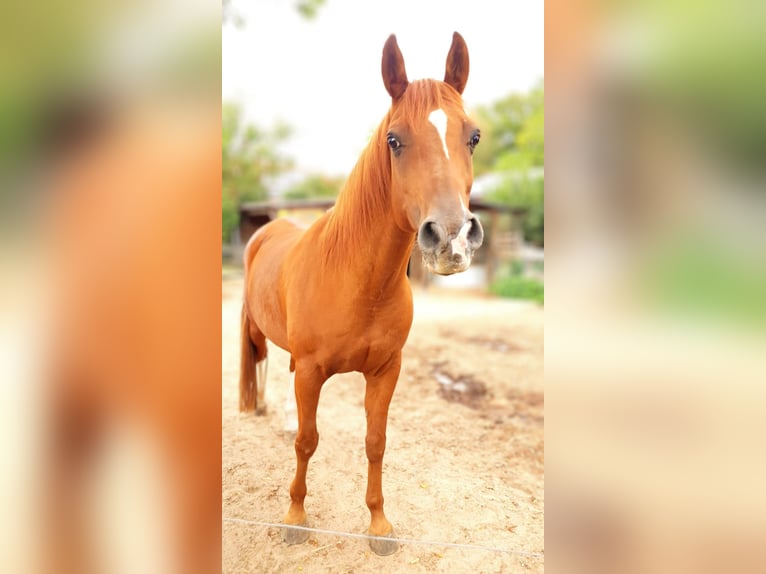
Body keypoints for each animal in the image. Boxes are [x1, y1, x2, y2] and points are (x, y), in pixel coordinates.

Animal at [240, 32, 484, 556]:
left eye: (473, 136)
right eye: (394, 140)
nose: (452, 237)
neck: (358, 282)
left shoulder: (386, 371)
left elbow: (376, 442)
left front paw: (379, 525)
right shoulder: (313, 372)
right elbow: (307, 440)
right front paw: (295, 517)